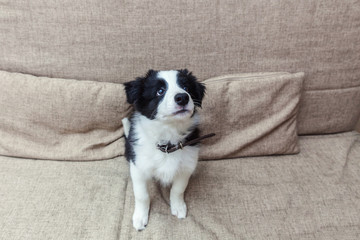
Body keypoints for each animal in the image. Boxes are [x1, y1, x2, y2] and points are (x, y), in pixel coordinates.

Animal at [123, 69, 205, 231]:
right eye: (160, 91)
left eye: (186, 87)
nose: (182, 97)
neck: (168, 139)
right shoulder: (138, 167)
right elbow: (142, 196)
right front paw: (140, 217)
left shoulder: (186, 166)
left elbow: (178, 189)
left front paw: (178, 207)